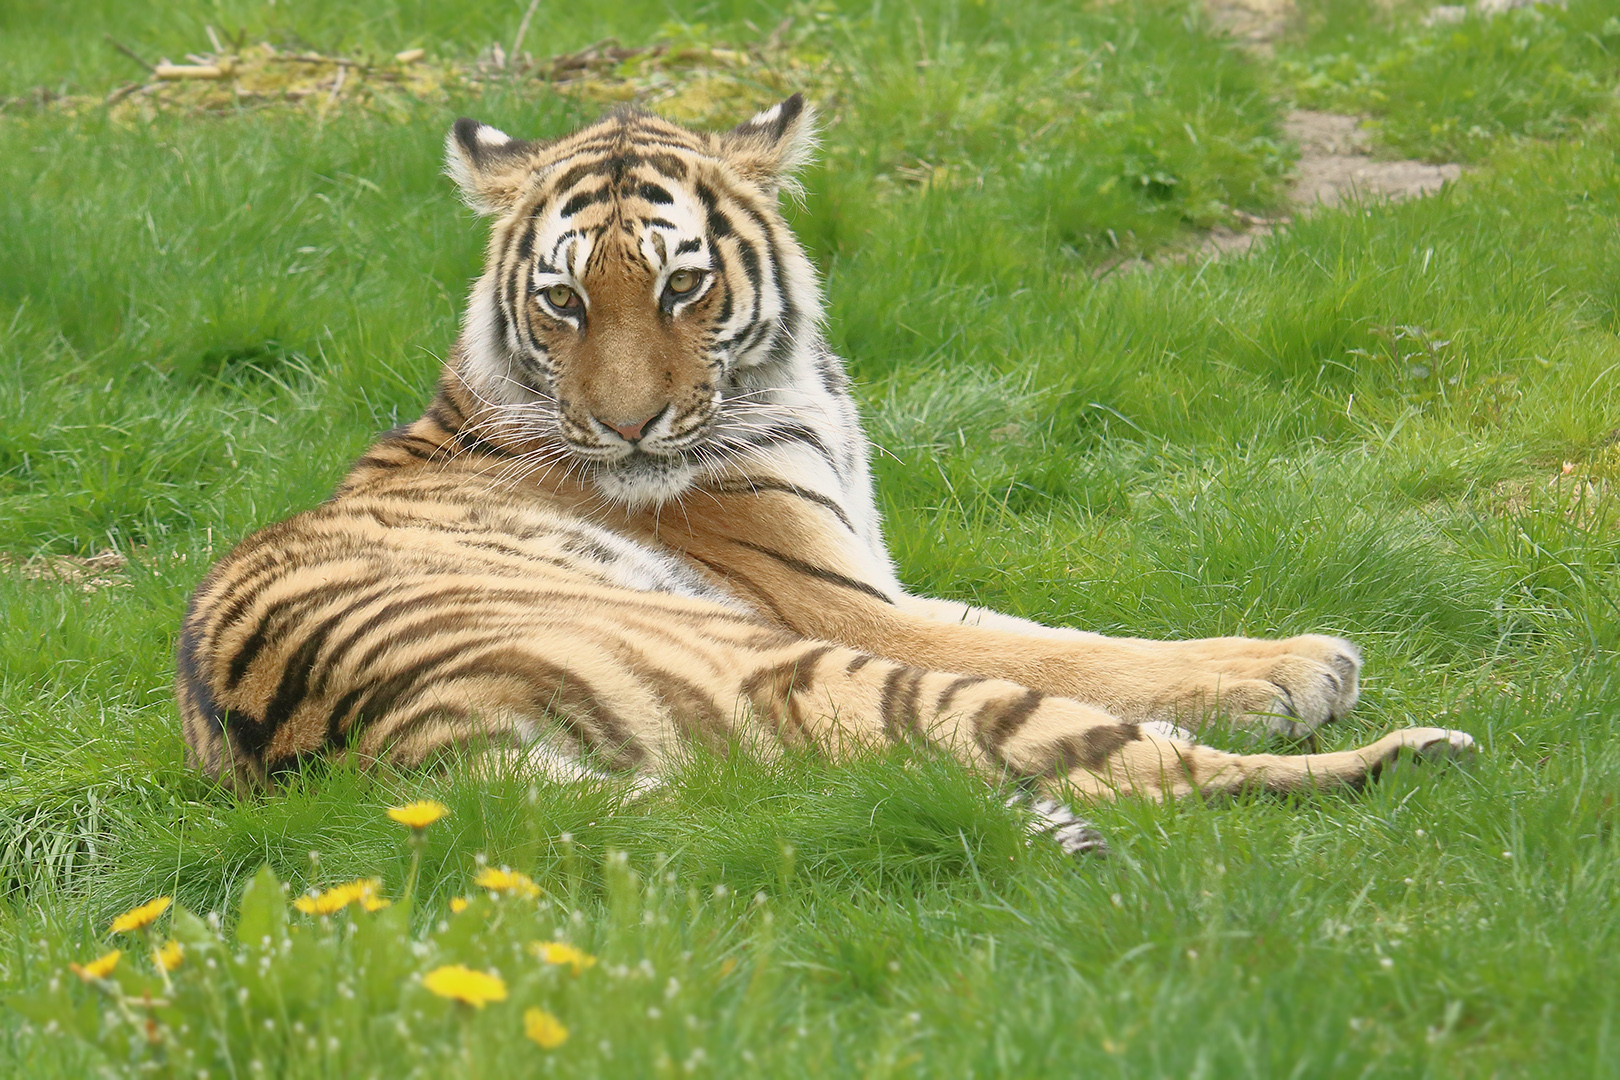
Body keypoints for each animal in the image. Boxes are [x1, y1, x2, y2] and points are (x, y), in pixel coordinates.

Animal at [174, 95, 1470, 854]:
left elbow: (1062, 630)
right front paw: (1293, 665)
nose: (630, 430)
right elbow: (1077, 654)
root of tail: (377, 749)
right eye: (565, 301)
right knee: (1139, 773)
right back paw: (1416, 755)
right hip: (779, 661)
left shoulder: (879, 577)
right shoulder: (844, 608)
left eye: (682, 286)